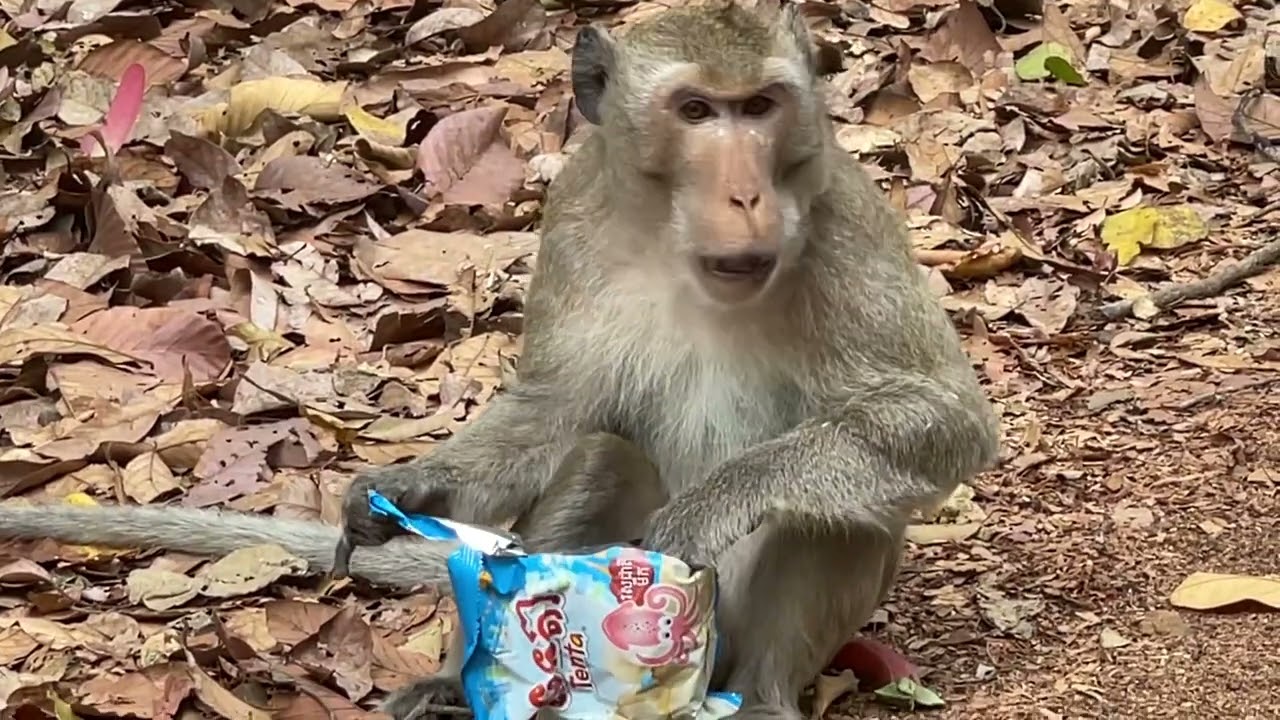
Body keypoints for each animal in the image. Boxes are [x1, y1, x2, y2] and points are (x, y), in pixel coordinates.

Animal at [0, 3, 1000, 718]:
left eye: (760, 106)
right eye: (695, 111)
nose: (747, 194)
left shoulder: (844, 222)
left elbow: (946, 421)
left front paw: (716, 503)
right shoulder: (575, 217)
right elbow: (554, 413)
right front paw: (408, 489)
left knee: (838, 507)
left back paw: (758, 702)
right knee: (600, 457)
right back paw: (464, 681)